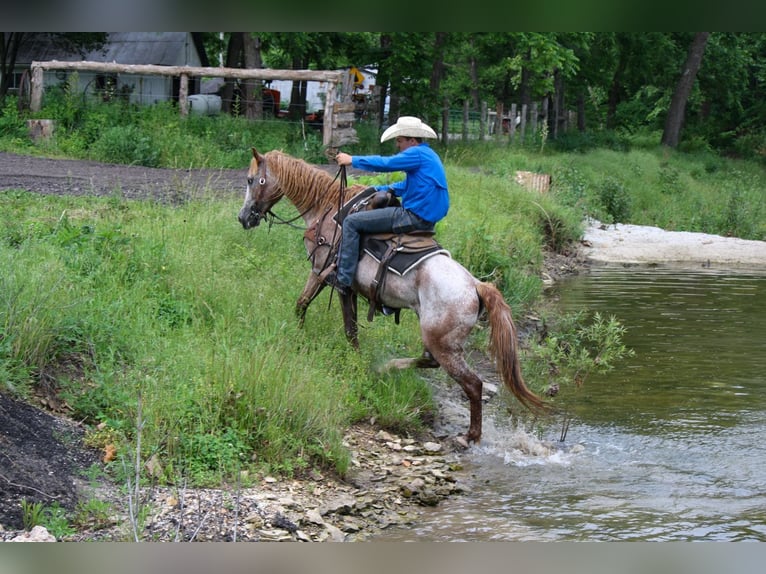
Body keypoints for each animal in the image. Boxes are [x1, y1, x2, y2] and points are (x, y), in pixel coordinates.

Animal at [237, 147, 547, 443]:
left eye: (252, 180)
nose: (243, 218)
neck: (326, 207)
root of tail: (475, 285)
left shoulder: (326, 275)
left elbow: (327, 317)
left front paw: (320, 347)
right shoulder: (340, 285)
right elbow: (323, 315)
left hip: (444, 344)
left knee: (472, 383)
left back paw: (470, 435)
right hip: (438, 339)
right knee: (430, 361)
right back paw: (387, 367)